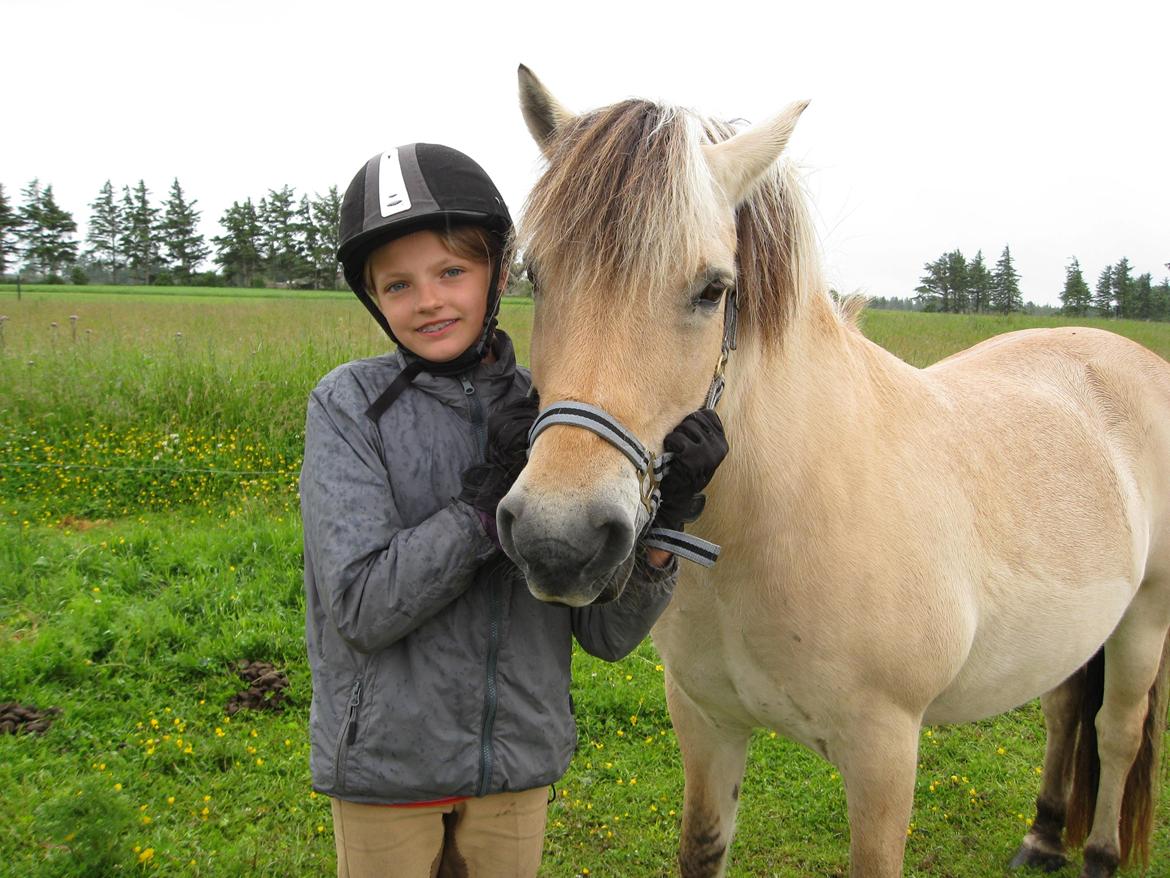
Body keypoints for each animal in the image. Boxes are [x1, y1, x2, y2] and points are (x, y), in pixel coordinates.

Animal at [496, 65, 1170, 875]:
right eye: (535, 274)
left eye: (713, 288)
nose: (557, 539)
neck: (780, 516)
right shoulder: (706, 723)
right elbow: (703, 847)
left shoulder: (884, 756)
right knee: (1066, 708)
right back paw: (1042, 834)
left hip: (1145, 618)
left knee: (1118, 730)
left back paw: (1098, 852)